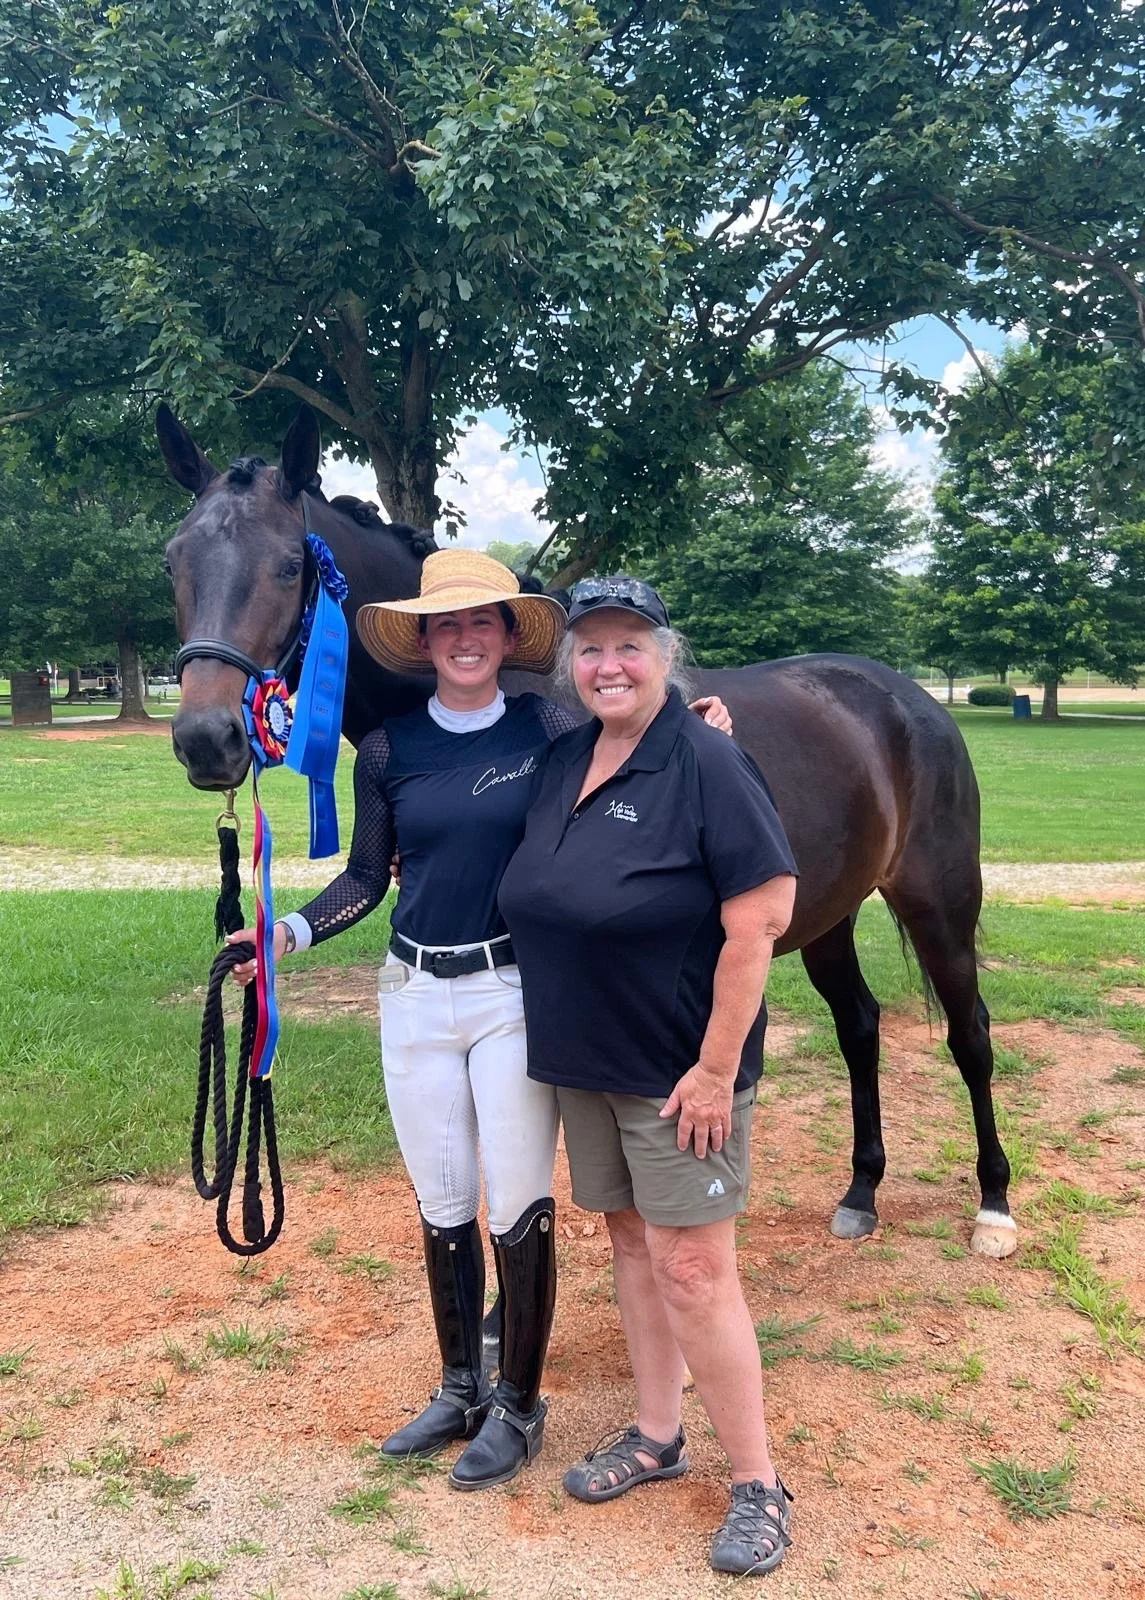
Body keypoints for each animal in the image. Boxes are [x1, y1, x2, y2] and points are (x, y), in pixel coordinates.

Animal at [159, 404, 1017, 1260]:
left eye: (287, 566)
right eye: (175, 561)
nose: (207, 739)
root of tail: (908, 698)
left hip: (937, 903)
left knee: (968, 1034)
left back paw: (993, 1205)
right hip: (826, 915)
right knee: (860, 1026)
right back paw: (861, 1191)